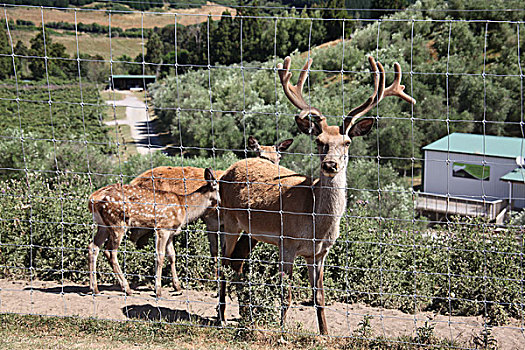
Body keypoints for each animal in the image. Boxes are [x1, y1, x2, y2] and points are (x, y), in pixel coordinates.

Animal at [87, 168, 217, 296]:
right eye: (218, 187)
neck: (184, 209)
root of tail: (92, 199)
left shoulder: (171, 232)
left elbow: (172, 256)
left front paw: (177, 286)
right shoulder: (163, 228)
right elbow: (160, 256)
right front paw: (158, 289)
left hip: (103, 225)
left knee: (93, 247)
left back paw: (95, 288)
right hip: (117, 222)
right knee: (110, 251)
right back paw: (127, 288)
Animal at [217, 54, 414, 334]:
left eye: (347, 142)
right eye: (319, 141)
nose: (330, 165)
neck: (315, 225)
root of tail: (228, 170)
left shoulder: (320, 253)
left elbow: (319, 296)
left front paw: (325, 333)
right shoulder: (287, 243)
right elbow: (286, 295)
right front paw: (282, 332)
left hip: (251, 231)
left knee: (238, 261)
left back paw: (245, 316)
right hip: (229, 219)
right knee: (223, 262)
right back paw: (222, 316)